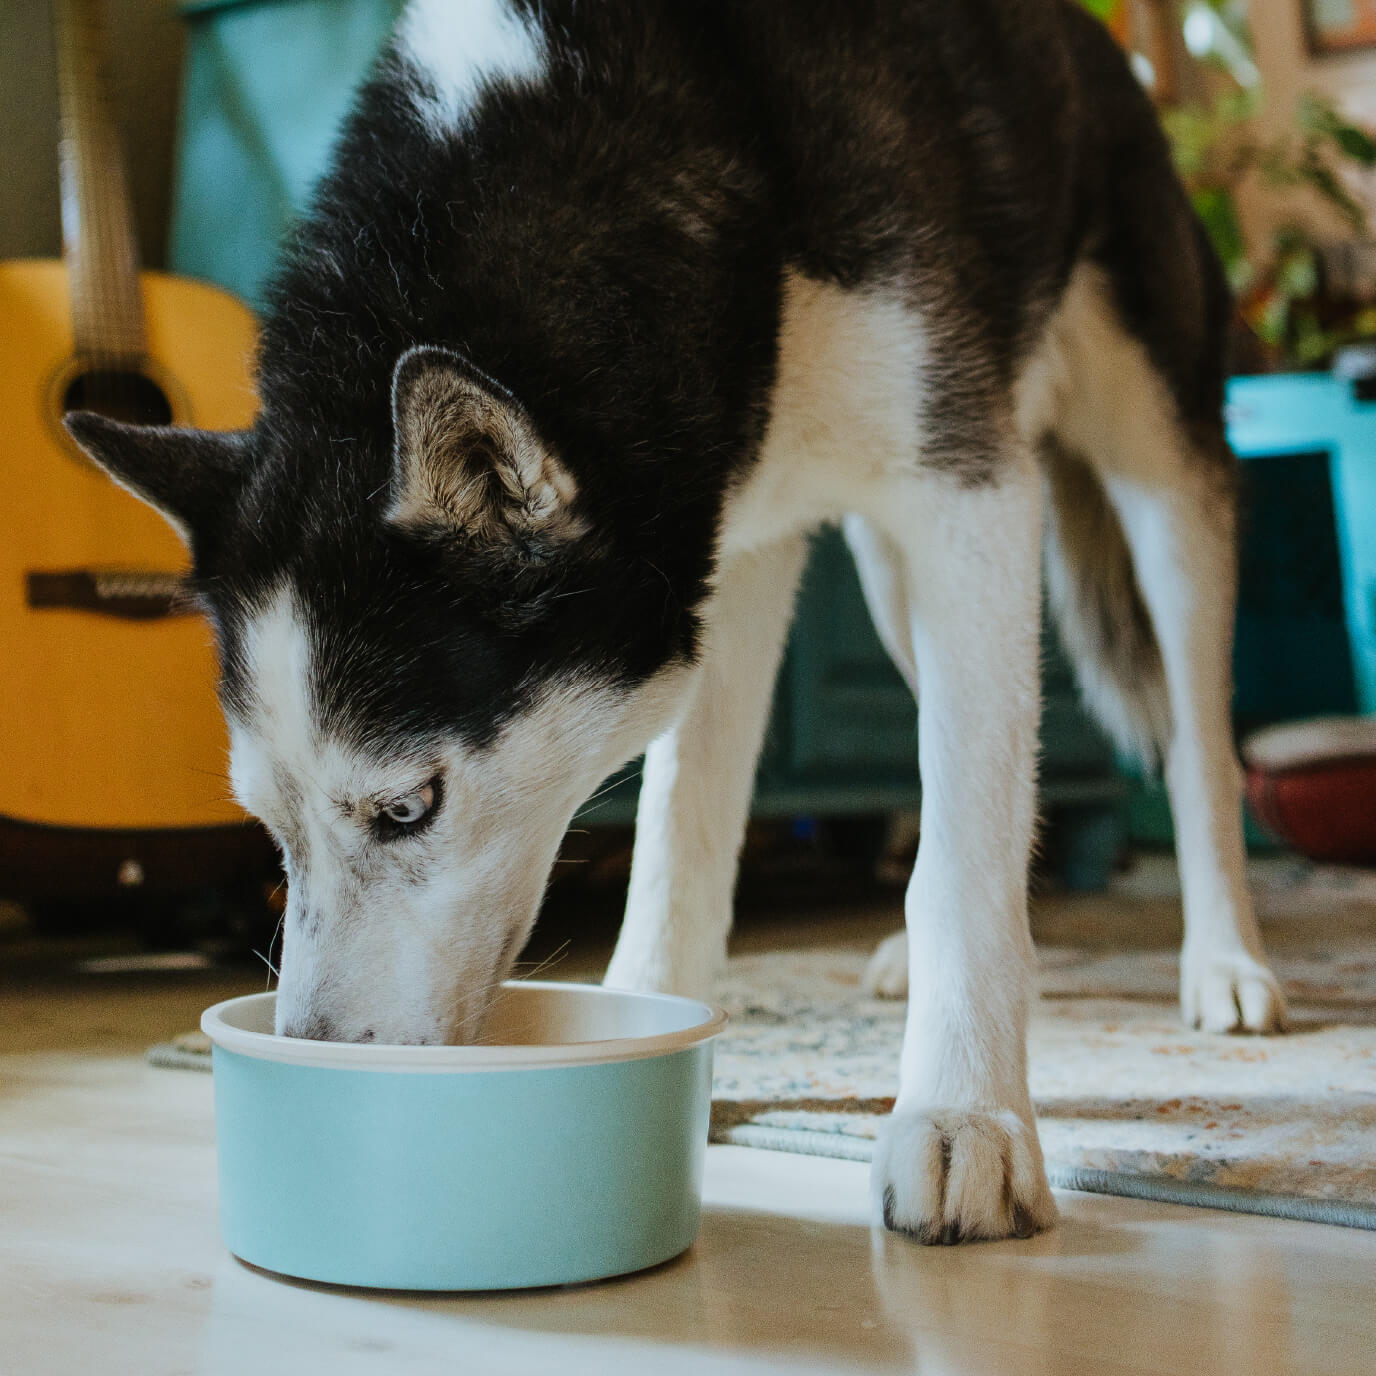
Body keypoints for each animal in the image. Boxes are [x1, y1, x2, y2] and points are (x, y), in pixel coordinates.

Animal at [67, 0, 1287, 1243]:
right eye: (266, 824)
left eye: (406, 807)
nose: (312, 1061)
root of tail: (1102, 45)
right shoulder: (731, 557)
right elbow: (682, 836)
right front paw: (653, 1021)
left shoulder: (967, 496)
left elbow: (960, 862)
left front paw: (965, 1116)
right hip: (900, 584)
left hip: (1150, 479)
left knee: (1189, 739)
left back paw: (1223, 959)